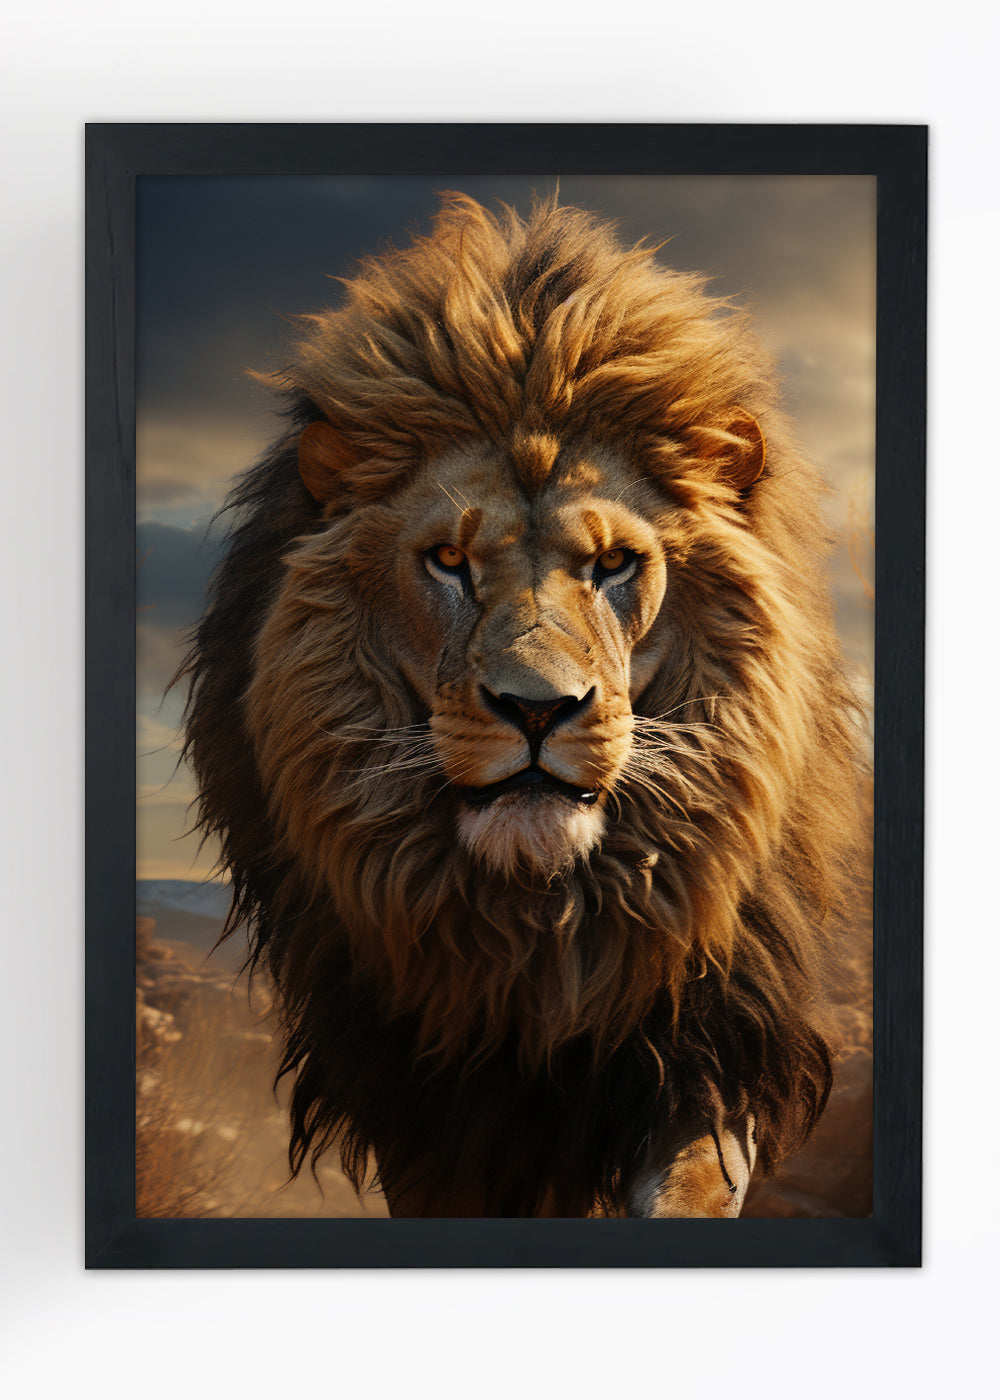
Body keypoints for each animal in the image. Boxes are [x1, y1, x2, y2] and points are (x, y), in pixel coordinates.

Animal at [181, 193, 864, 1217]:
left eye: (615, 563)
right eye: (449, 562)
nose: (538, 710)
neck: (540, 935)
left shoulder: (707, 1046)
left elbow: (690, 1189)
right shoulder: (430, 1112)